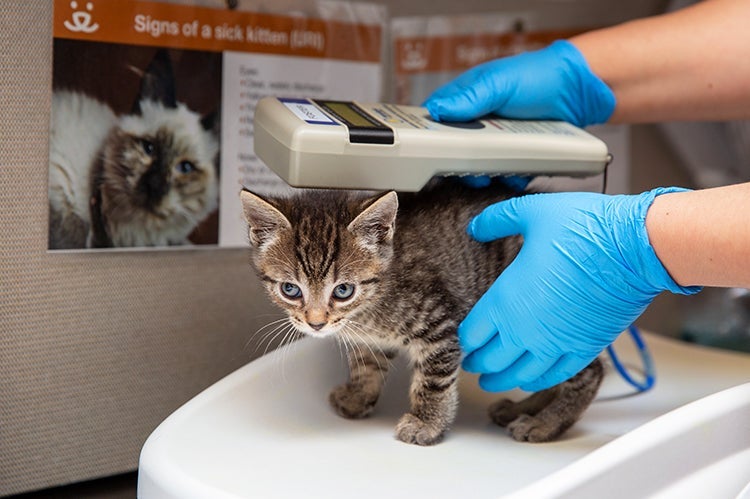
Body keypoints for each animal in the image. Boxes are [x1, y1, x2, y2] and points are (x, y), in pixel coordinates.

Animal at [241, 179, 604, 446]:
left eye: (343, 291)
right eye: (291, 290)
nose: (316, 324)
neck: (369, 307)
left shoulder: (439, 326)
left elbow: (432, 383)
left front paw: (427, 424)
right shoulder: (371, 339)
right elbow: (365, 365)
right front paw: (359, 396)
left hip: (544, 328)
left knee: (590, 371)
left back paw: (544, 424)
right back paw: (520, 408)